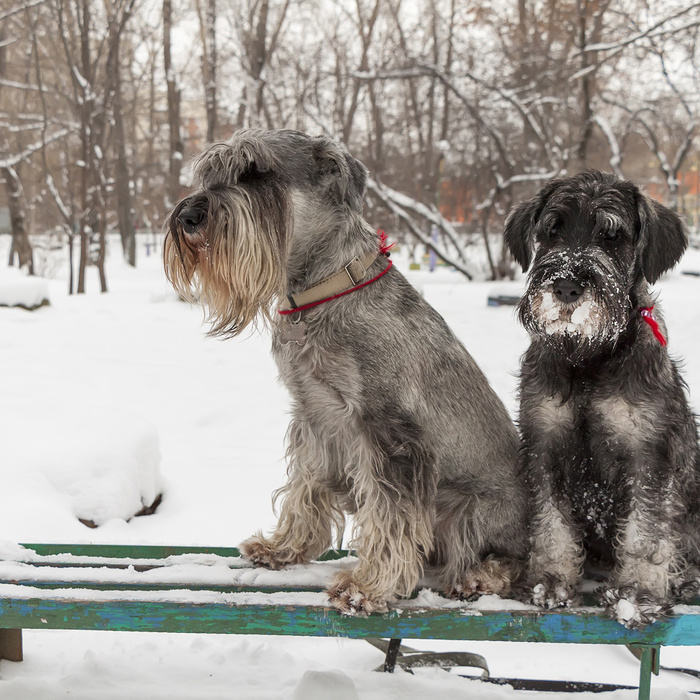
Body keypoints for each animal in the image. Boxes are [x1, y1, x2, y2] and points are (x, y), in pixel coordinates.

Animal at [504, 171, 700, 628]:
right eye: (551, 231)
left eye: (612, 236)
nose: (566, 287)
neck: (589, 357)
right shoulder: (545, 444)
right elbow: (551, 522)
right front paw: (551, 582)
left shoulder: (648, 454)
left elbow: (647, 529)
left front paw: (637, 593)